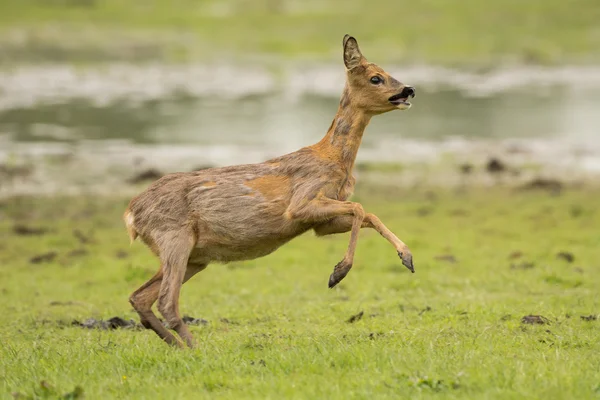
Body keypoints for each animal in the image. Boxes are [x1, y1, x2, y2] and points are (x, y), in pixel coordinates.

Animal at [125, 33, 418, 346]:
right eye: (376, 78)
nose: (409, 89)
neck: (333, 159)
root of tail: (131, 215)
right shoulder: (301, 202)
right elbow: (360, 207)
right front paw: (338, 273)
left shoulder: (320, 222)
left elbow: (367, 214)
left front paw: (407, 258)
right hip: (174, 237)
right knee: (166, 301)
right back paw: (195, 348)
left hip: (195, 255)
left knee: (140, 297)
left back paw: (180, 346)